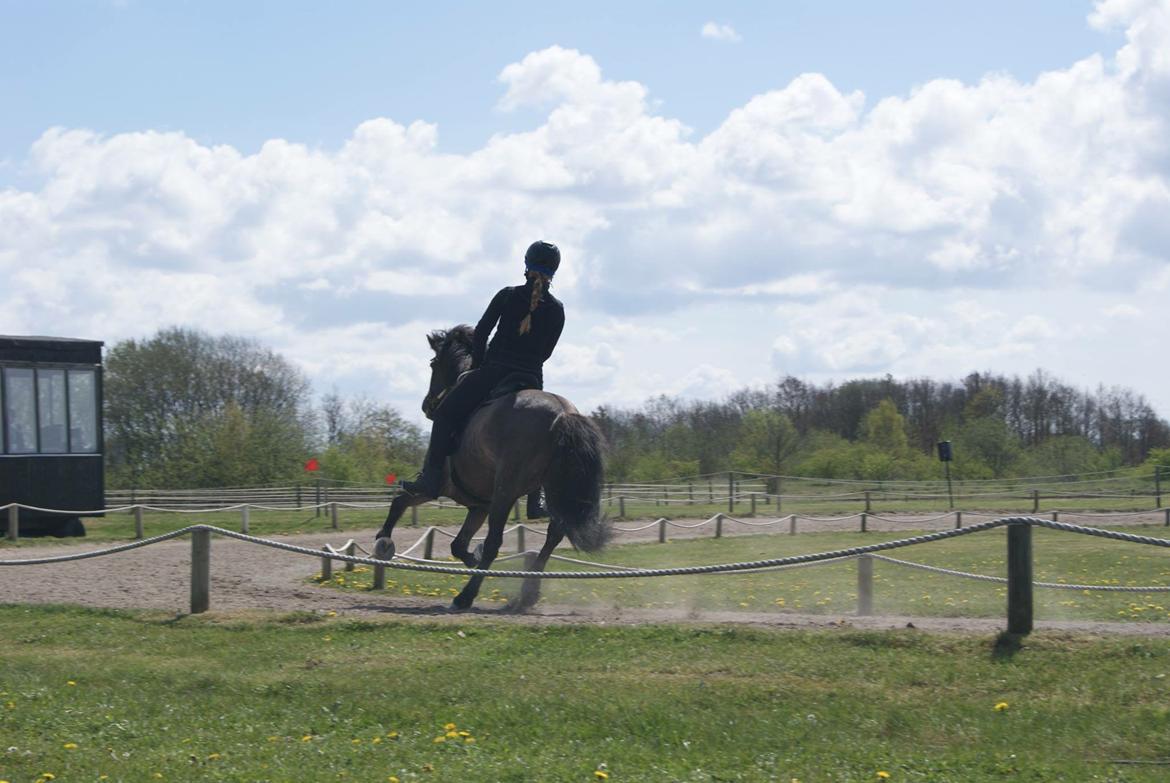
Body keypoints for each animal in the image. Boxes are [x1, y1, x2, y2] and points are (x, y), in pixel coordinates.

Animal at [374, 323, 613, 608]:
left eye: (433, 364)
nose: (426, 405)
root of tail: (563, 413)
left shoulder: (439, 488)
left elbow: (400, 500)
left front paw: (383, 541)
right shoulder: (479, 505)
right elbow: (458, 544)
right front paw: (472, 558)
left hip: (505, 493)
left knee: (494, 542)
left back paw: (466, 596)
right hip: (551, 491)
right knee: (554, 533)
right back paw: (527, 593)